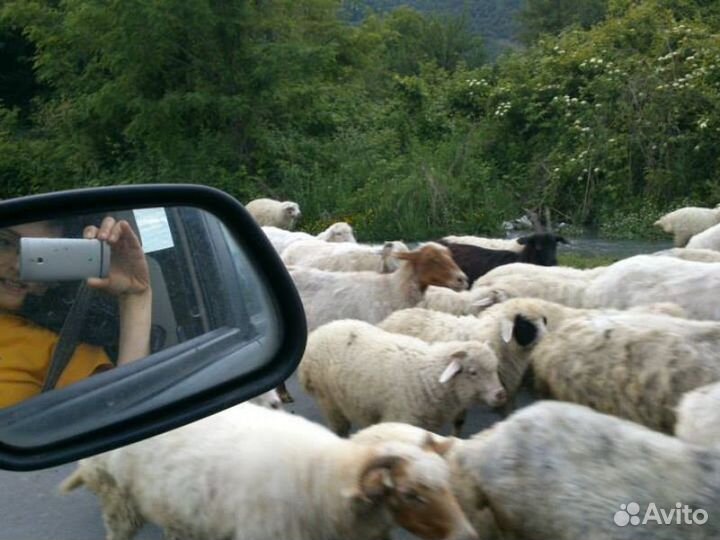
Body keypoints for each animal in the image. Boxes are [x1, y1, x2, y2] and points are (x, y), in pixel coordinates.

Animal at [59, 402, 478, 540]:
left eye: (448, 485)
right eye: (410, 494)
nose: (467, 537)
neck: (322, 478)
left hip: (179, 511)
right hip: (119, 505)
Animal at [298, 318, 506, 436]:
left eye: (495, 368)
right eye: (473, 372)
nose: (500, 394)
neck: (427, 376)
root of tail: (317, 333)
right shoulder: (400, 418)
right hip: (328, 400)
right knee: (339, 428)